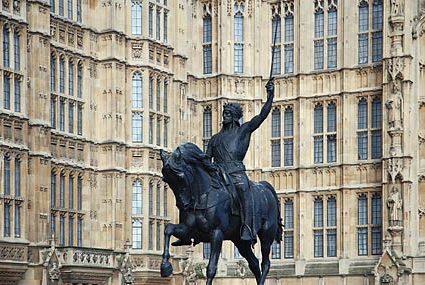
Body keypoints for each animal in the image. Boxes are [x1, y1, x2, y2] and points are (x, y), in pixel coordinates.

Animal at [159, 142, 282, 284]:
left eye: (180, 177)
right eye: (166, 180)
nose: (183, 205)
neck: (203, 196)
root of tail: (266, 187)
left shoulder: (217, 232)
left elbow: (211, 267)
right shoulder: (188, 230)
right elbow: (168, 229)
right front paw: (165, 267)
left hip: (266, 234)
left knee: (265, 263)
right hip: (240, 241)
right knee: (254, 263)